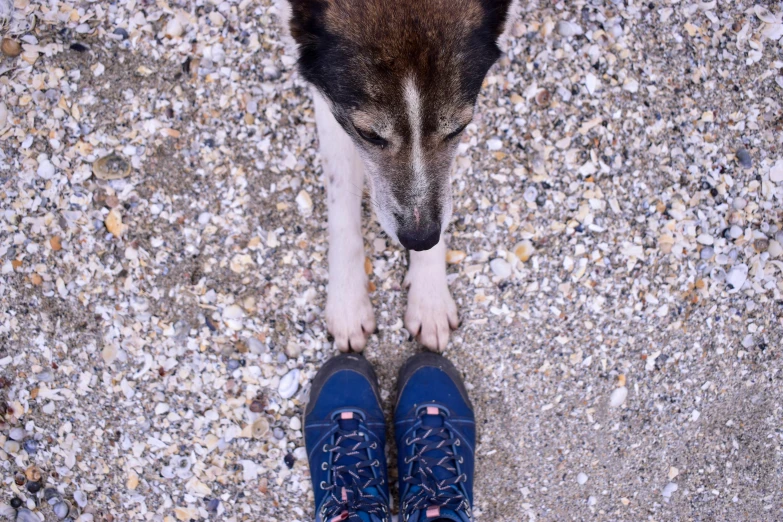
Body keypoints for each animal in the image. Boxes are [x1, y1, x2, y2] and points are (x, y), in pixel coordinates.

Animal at [280, 2, 520, 352]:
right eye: (368, 134)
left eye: (459, 128)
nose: (420, 240)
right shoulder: (330, 100)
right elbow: (341, 200)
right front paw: (347, 302)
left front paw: (430, 298)